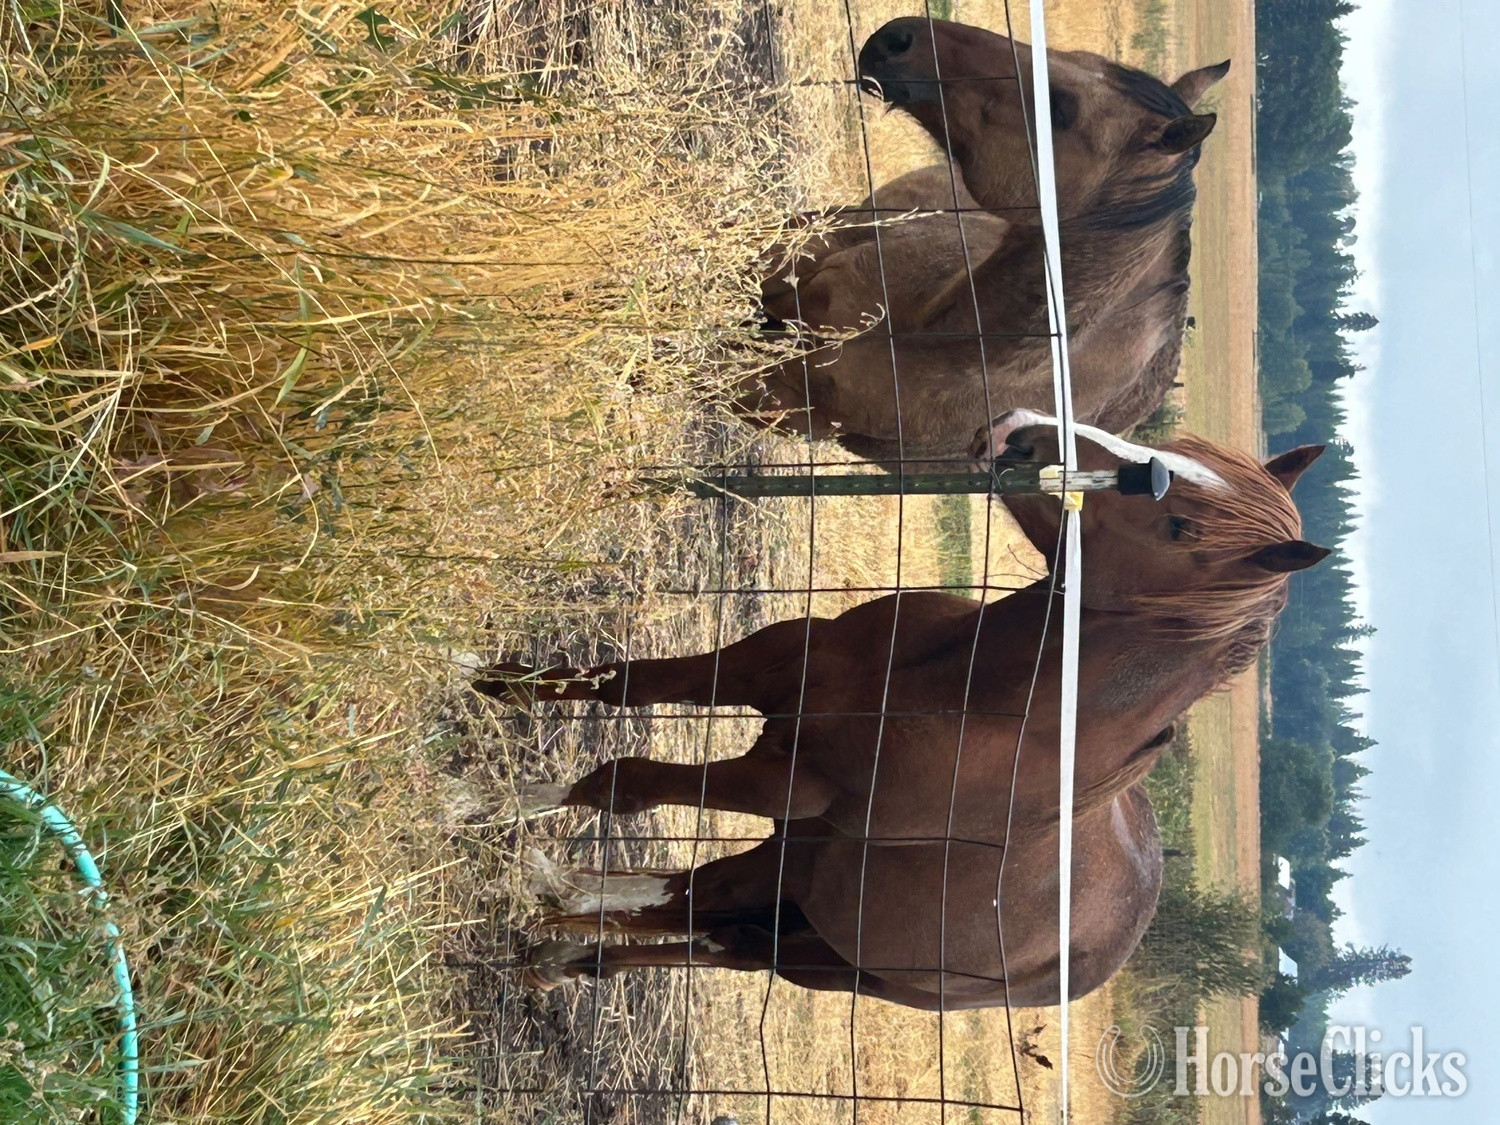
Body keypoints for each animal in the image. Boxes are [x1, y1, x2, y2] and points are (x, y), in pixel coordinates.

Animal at [475, 412, 1329, 1010]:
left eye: (1180, 525)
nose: (1022, 433)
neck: (970, 694)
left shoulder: (791, 783)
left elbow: (622, 781)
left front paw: (491, 803)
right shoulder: (768, 664)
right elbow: (621, 684)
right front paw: (492, 681)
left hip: (828, 945)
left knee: (713, 926)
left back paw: (558, 930)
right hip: (805, 868)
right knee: (702, 903)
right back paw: (561, 941)